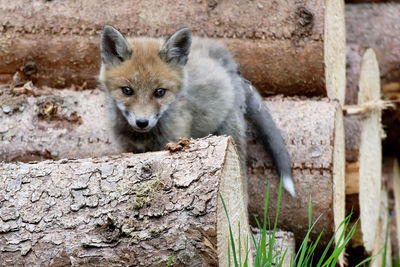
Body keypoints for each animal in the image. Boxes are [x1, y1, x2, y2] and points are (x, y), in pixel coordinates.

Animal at [99, 25, 296, 197]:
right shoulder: (129, 150)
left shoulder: (169, 143)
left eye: (160, 92)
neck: (142, 138)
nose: (142, 122)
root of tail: (231, 67)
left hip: (231, 135)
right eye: (127, 91)